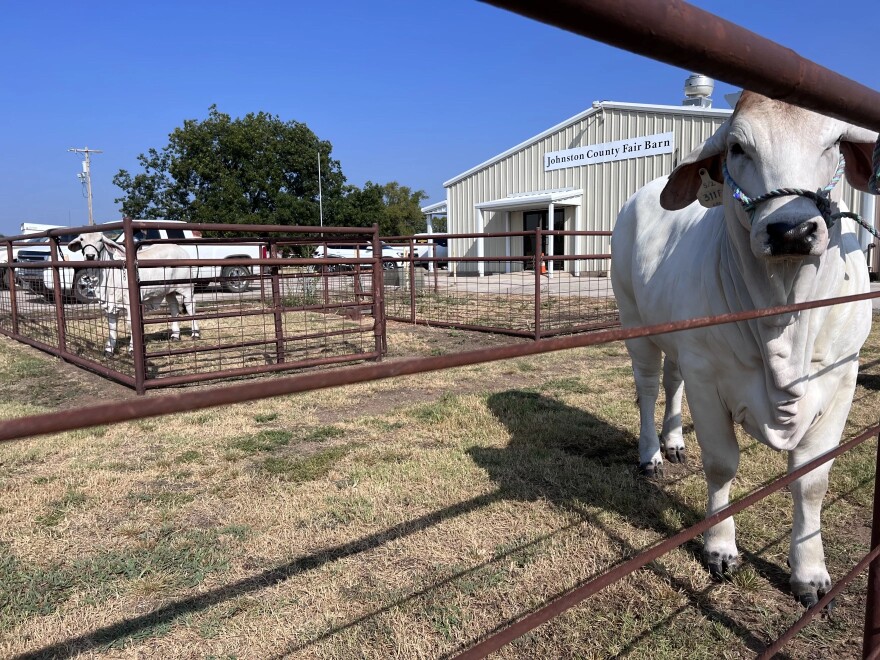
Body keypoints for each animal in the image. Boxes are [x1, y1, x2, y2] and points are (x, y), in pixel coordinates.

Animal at [67, 232, 201, 356]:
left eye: (100, 240)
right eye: (81, 239)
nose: (90, 256)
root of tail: (180, 249)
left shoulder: (130, 304)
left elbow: (130, 325)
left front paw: (132, 349)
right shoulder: (110, 304)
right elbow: (112, 326)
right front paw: (109, 350)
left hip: (186, 287)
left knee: (190, 306)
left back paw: (195, 334)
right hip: (169, 290)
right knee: (173, 306)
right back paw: (175, 335)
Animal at [612, 93, 880, 608]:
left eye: (834, 143)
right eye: (738, 148)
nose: (791, 230)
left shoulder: (843, 379)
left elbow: (812, 481)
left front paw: (810, 573)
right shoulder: (707, 375)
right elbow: (721, 465)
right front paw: (719, 547)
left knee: (672, 384)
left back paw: (674, 443)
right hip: (637, 325)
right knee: (650, 388)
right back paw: (652, 453)